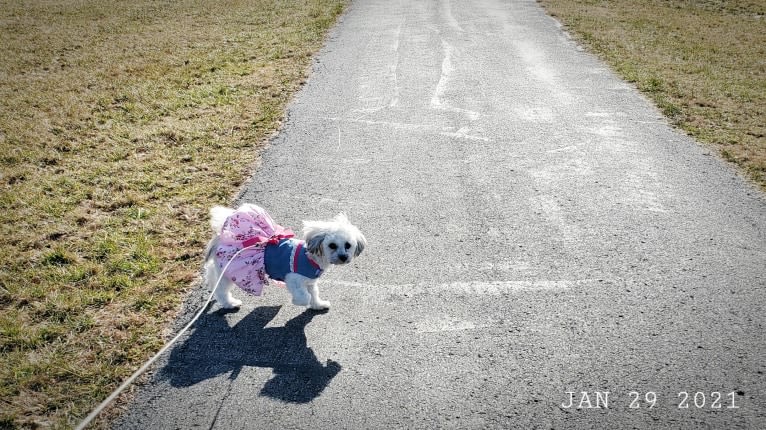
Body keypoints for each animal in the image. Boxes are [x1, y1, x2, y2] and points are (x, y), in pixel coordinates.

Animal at [204, 203, 366, 310]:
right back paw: (230, 303)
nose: (343, 257)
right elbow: (305, 296)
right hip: (228, 273)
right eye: (332, 245)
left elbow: (314, 294)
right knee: (221, 290)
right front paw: (297, 302)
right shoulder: (293, 279)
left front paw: (318, 305)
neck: (312, 258)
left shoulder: (310, 282)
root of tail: (221, 238)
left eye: (348, 245)